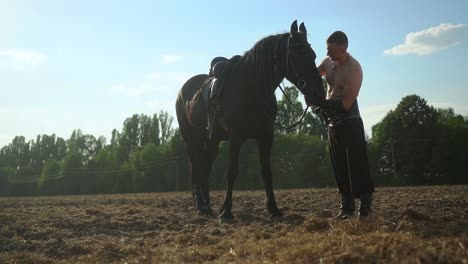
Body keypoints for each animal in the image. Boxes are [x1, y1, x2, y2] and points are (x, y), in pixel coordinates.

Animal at [176, 20, 326, 222]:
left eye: (313, 55)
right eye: (298, 54)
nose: (318, 93)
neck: (252, 88)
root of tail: (183, 90)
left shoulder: (265, 136)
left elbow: (266, 172)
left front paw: (273, 209)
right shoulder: (236, 137)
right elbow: (231, 172)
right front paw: (226, 212)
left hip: (212, 140)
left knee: (205, 167)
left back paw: (207, 206)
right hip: (191, 140)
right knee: (197, 169)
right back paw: (201, 206)